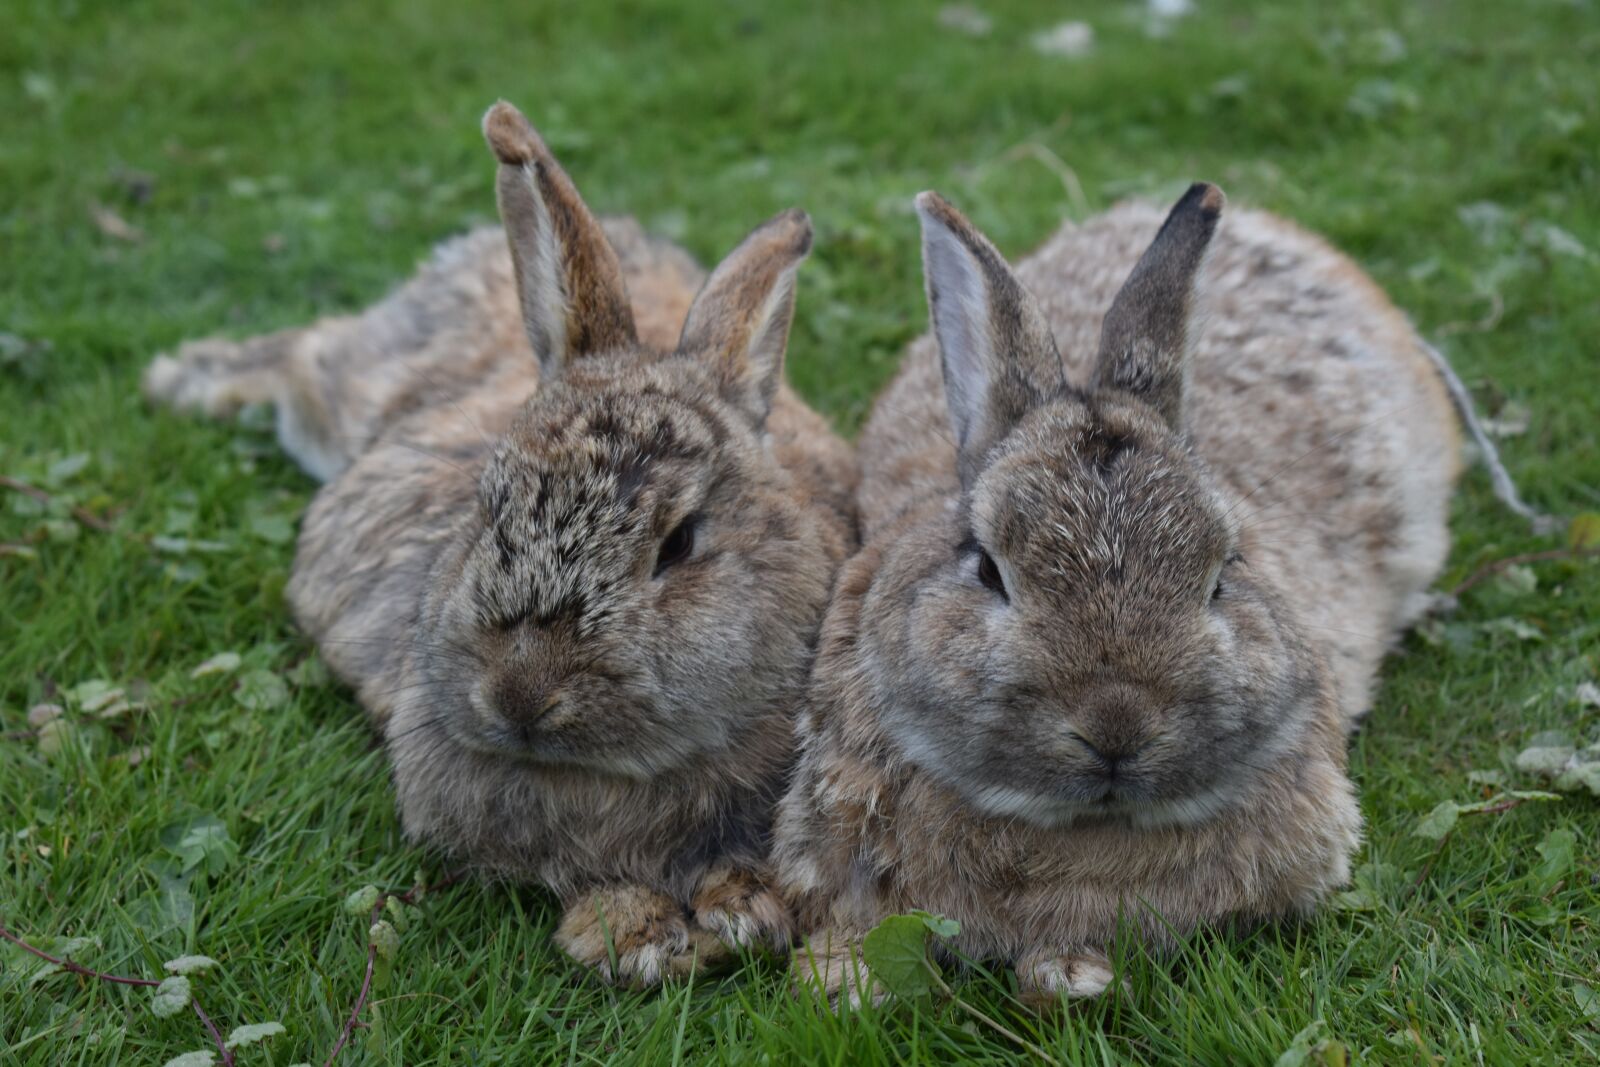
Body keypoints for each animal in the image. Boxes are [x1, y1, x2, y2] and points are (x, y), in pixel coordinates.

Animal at [145, 101, 857, 986]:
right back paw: (183, 375)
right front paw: (632, 931)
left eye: (680, 542)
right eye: (488, 506)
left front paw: (741, 907)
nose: (520, 695)